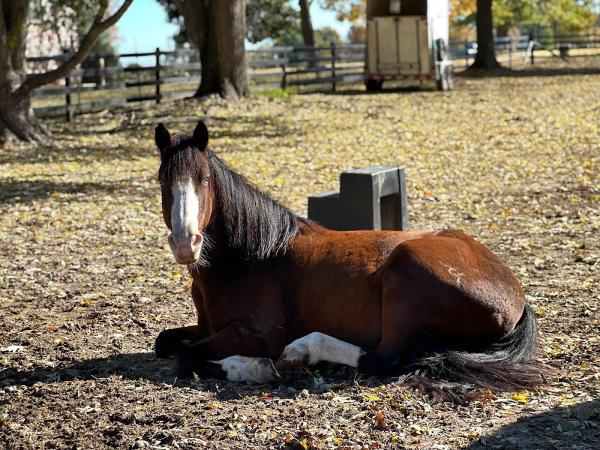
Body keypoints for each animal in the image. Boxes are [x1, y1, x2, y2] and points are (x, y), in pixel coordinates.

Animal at [152, 119, 548, 390]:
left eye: (203, 179)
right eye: (162, 182)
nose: (186, 243)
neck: (252, 258)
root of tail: (515, 294)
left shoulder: (260, 335)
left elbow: (186, 356)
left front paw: (253, 367)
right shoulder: (206, 327)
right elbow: (165, 343)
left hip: (404, 268)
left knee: (383, 358)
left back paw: (304, 349)